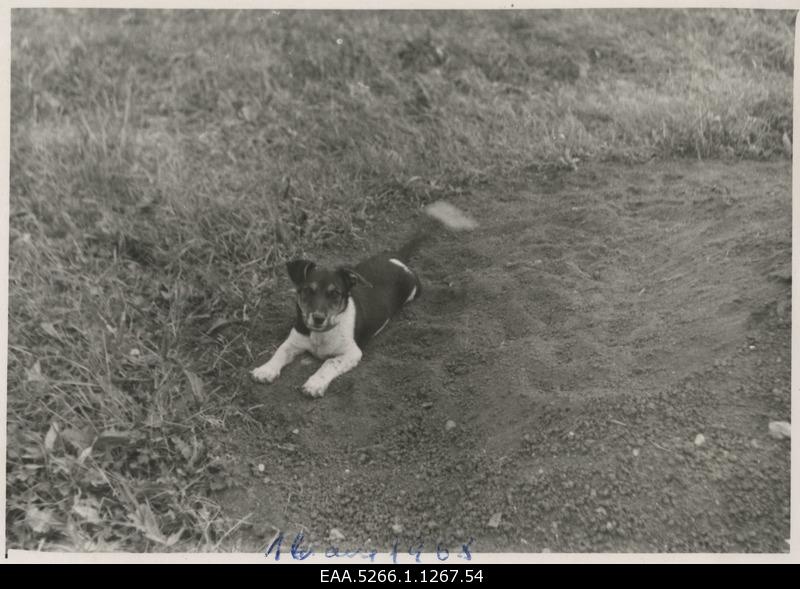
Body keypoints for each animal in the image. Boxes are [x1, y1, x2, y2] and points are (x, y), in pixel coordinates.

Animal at [252, 200, 476, 398]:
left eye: (335, 294)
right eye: (308, 291)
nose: (318, 318)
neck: (322, 333)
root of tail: (397, 258)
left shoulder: (352, 353)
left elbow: (328, 363)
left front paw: (314, 384)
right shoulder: (295, 340)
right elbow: (280, 351)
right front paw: (265, 370)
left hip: (414, 290)